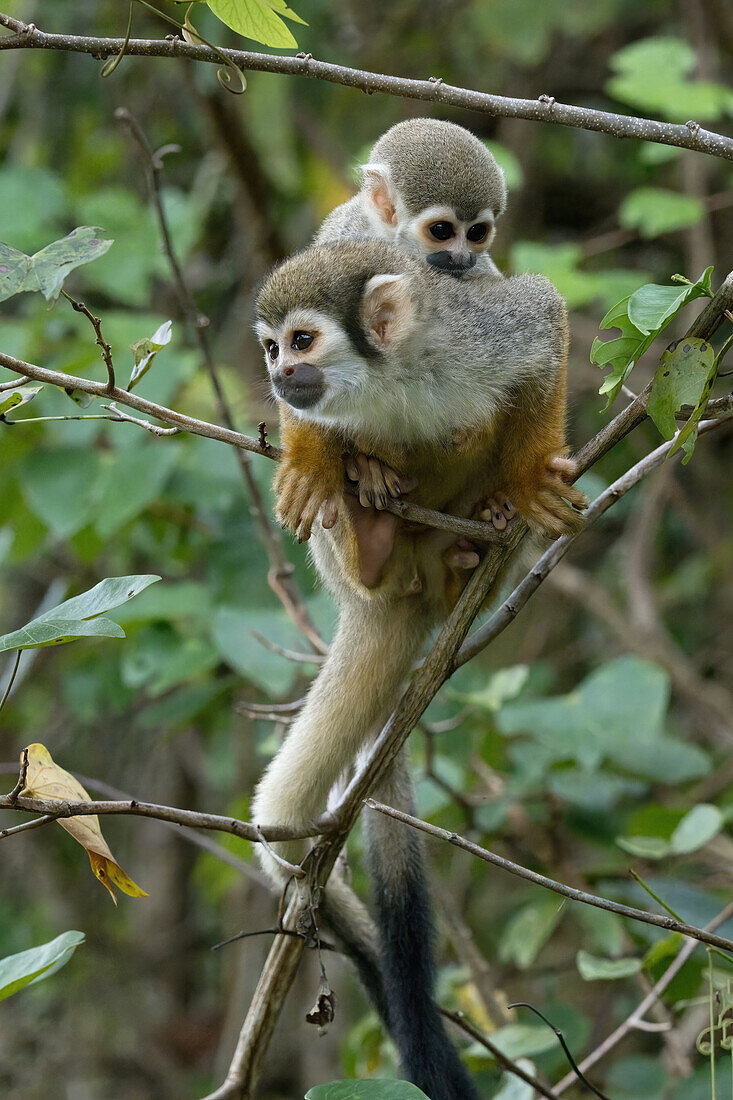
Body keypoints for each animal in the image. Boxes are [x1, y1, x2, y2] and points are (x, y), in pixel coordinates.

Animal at [250, 240, 581, 1100]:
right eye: (270, 349)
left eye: (301, 341)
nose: (280, 376)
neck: (387, 378)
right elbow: (314, 442)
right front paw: (312, 459)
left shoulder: (478, 336)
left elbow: (543, 314)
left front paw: (527, 478)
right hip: (348, 574)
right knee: (357, 521)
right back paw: (368, 526)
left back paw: (475, 547)